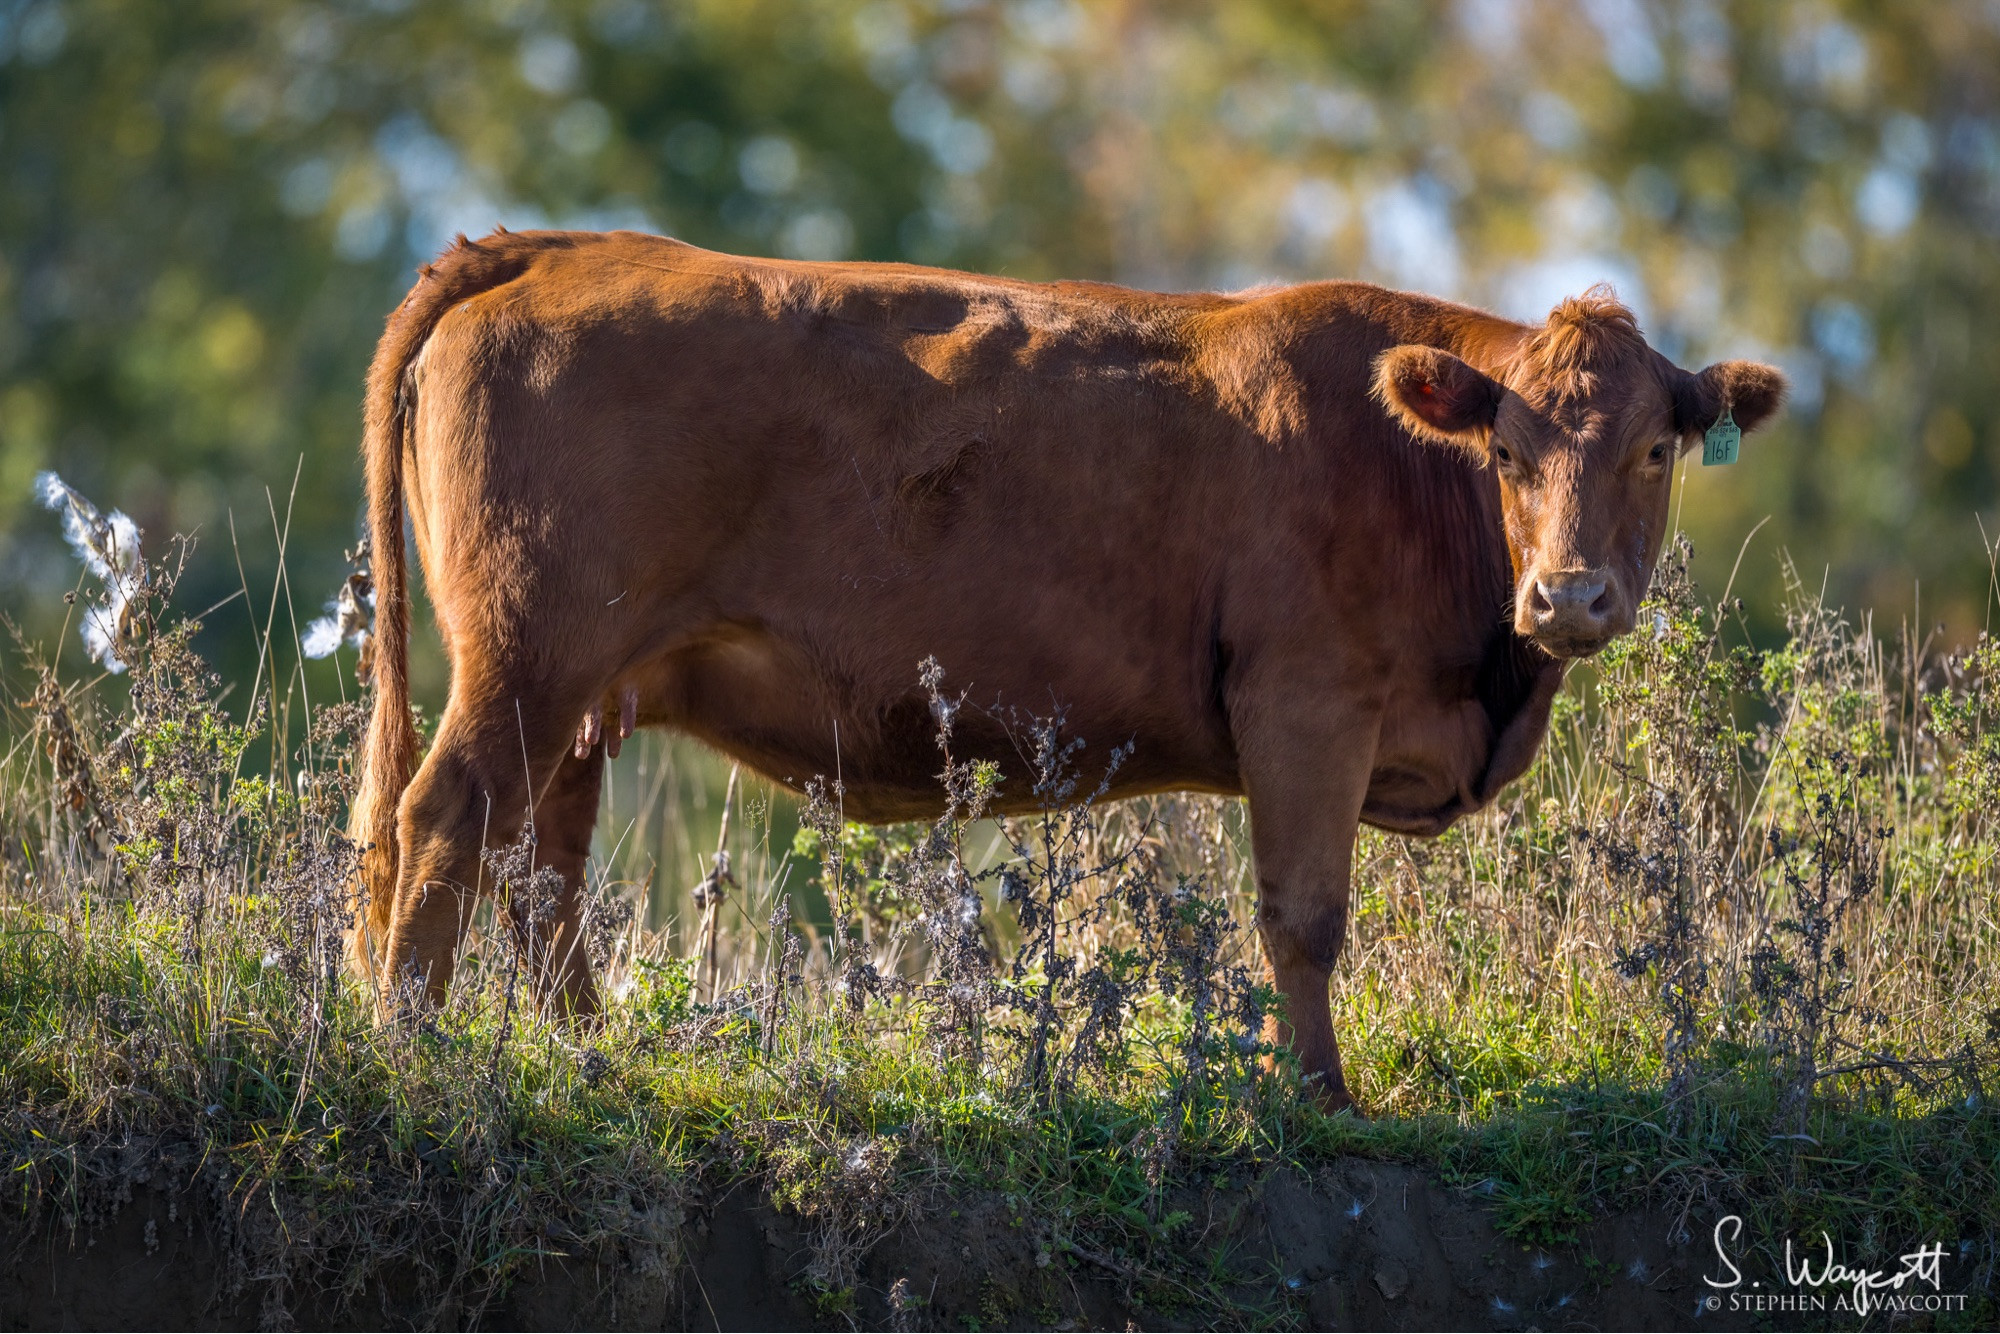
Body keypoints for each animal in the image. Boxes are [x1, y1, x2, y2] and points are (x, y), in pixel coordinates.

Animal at [344, 230, 1784, 1104]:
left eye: (1656, 448)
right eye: (1508, 451)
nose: (1570, 594)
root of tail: (569, 247)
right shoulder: (1308, 701)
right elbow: (1303, 918)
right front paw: (1323, 1104)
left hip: (582, 693)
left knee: (540, 870)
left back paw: (596, 1058)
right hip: (529, 659)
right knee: (444, 818)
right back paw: (409, 1042)